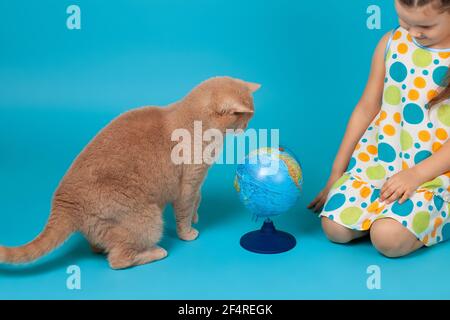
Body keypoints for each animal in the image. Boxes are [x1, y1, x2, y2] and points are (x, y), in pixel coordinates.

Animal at [0, 77, 260, 270]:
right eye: (245, 116)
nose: (248, 125)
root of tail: (63, 202)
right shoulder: (188, 183)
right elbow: (185, 211)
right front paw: (188, 232)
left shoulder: (197, 183)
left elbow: (198, 199)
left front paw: (197, 215)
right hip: (148, 220)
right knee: (118, 260)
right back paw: (155, 252)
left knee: (101, 247)